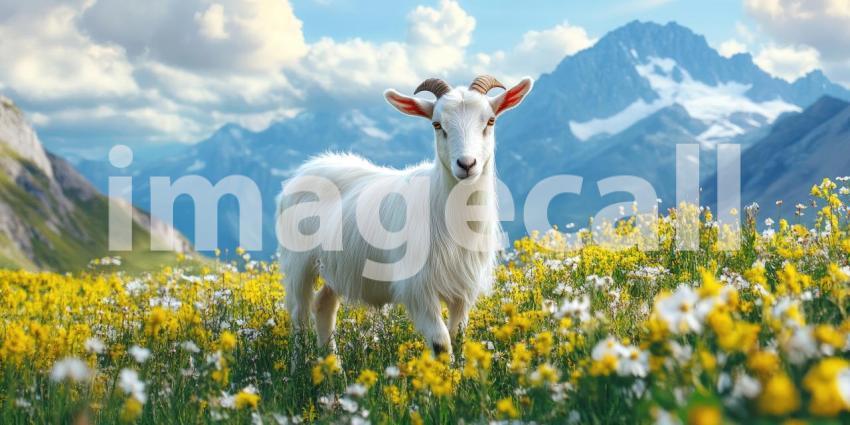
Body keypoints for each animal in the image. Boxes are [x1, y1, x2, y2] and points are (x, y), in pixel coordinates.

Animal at [276, 75, 534, 356]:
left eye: (490, 121)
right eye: (436, 124)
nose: (466, 164)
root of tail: (307, 167)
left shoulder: (462, 290)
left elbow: (458, 336)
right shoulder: (418, 289)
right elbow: (441, 343)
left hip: (335, 266)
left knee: (324, 306)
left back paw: (332, 365)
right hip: (298, 264)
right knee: (299, 317)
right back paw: (299, 364)